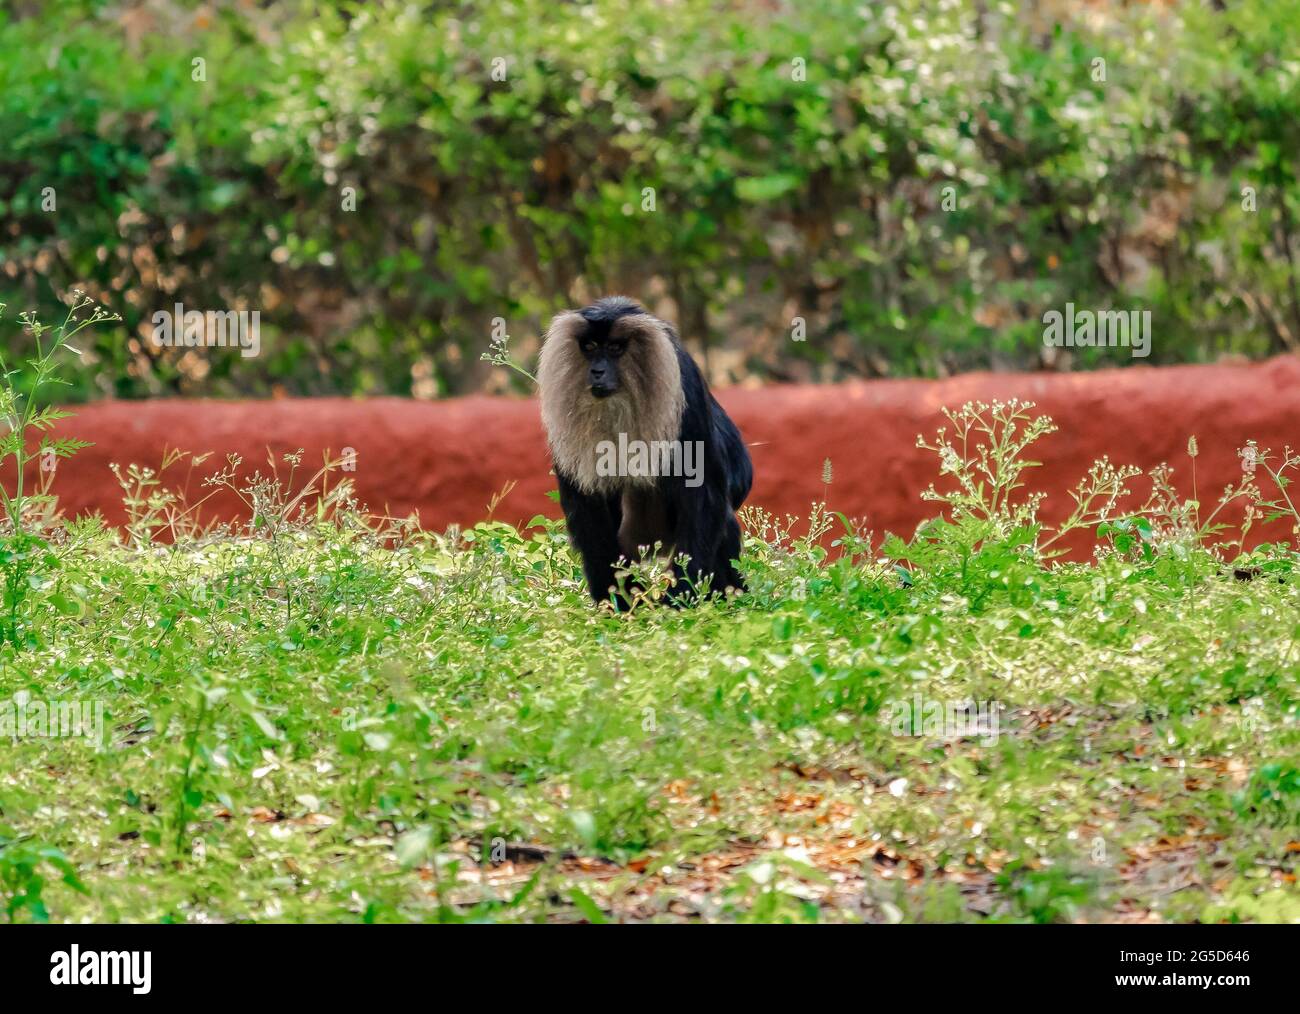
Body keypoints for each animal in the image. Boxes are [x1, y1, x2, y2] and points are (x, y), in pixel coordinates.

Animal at [535, 297, 754, 605]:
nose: (597, 371)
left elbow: (704, 493)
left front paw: (681, 598)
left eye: (615, 348)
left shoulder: (684, 384)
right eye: (589, 347)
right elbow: (587, 507)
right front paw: (615, 600)